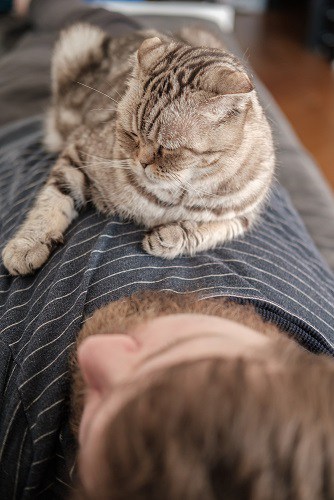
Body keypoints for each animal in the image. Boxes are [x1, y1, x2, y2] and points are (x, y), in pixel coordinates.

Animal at [1, 23, 276, 276]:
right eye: (131, 134)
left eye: (168, 148)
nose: (141, 162)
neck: (173, 197)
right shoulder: (78, 150)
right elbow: (51, 202)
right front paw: (27, 245)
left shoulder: (244, 216)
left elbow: (209, 230)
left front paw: (171, 236)